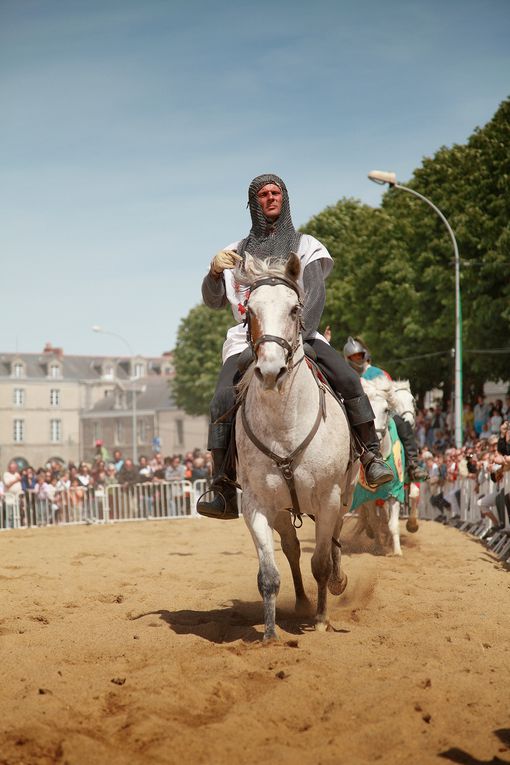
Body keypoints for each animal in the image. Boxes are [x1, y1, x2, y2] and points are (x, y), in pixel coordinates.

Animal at [236, 255, 352, 640]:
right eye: (250, 311)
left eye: (294, 309)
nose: (271, 370)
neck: (284, 425)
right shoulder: (255, 505)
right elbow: (269, 575)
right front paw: (270, 635)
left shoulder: (329, 498)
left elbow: (321, 562)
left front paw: (321, 619)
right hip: (283, 512)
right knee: (291, 548)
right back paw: (301, 602)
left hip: (345, 497)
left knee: (332, 542)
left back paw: (332, 586)